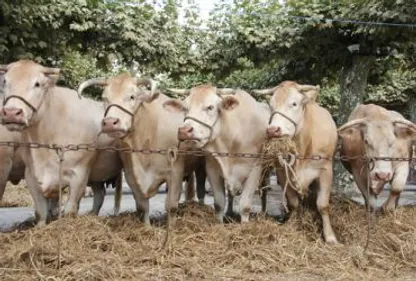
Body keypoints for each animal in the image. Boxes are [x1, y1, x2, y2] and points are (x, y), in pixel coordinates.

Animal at [0, 59, 122, 225]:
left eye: (37, 84)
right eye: (5, 81)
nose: (12, 113)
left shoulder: (79, 174)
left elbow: (70, 210)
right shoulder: (31, 175)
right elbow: (41, 212)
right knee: (99, 193)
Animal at [77, 72, 206, 223]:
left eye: (132, 96)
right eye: (105, 98)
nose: (109, 122)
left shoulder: (175, 172)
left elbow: (171, 206)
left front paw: (171, 225)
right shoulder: (131, 175)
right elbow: (142, 206)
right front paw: (146, 226)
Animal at [161, 84, 268, 222]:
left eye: (210, 107)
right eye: (185, 108)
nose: (184, 131)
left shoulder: (255, 170)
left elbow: (245, 206)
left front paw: (245, 224)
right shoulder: (212, 169)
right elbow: (219, 203)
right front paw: (219, 223)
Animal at [254, 81, 338, 243]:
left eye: (294, 103)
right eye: (271, 105)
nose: (273, 130)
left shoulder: (326, 170)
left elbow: (323, 205)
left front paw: (330, 236)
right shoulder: (282, 172)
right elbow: (293, 202)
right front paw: (292, 225)